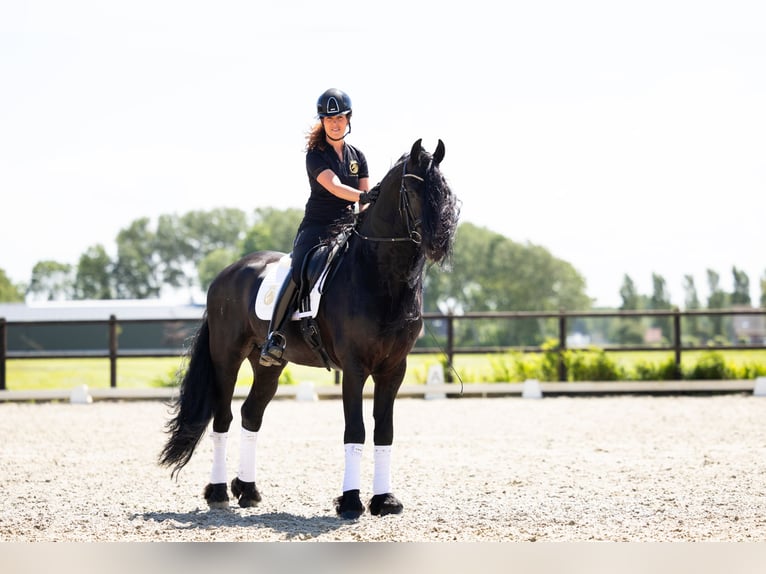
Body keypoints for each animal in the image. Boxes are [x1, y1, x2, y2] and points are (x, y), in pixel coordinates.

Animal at [161, 141, 460, 520]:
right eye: (413, 189)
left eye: (444, 188)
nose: (440, 240)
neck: (379, 274)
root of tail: (226, 274)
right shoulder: (354, 367)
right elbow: (356, 429)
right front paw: (350, 501)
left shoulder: (394, 368)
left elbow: (385, 431)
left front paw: (385, 501)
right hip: (226, 358)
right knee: (223, 417)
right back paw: (218, 492)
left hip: (268, 364)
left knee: (251, 414)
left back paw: (248, 490)